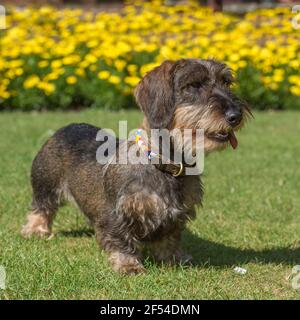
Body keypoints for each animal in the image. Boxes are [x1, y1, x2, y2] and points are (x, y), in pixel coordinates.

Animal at [21, 58, 250, 274]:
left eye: (226, 82)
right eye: (194, 85)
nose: (236, 115)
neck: (163, 165)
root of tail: (66, 127)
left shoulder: (176, 216)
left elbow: (169, 239)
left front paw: (174, 259)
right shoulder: (116, 213)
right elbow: (121, 239)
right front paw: (128, 265)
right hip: (45, 184)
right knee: (41, 208)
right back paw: (36, 230)